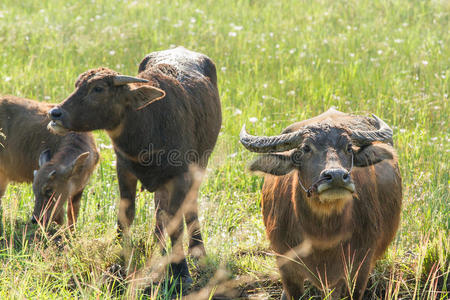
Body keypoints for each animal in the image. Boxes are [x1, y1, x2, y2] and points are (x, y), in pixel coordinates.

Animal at [0, 95, 99, 227]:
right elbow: (59, 220)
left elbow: (73, 216)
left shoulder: (79, 190)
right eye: (34, 190)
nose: (35, 219)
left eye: (49, 190)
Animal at [47, 46, 221, 288]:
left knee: (188, 208)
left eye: (98, 89)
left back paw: (197, 252)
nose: (55, 114)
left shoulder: (180, 175)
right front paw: (120, 258)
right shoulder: (124, 170)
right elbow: (126, 215)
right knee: (160, 210)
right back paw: (157, 247)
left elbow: (177, 221)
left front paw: (181, 271)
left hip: (199, 167)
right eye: (77, 84)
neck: (148, 126)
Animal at [241, 109, 402, 300]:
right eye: (306, 148)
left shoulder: (359, 268)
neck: (324, 233)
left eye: (349, 148)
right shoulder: (287, 267)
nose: (337, 176)